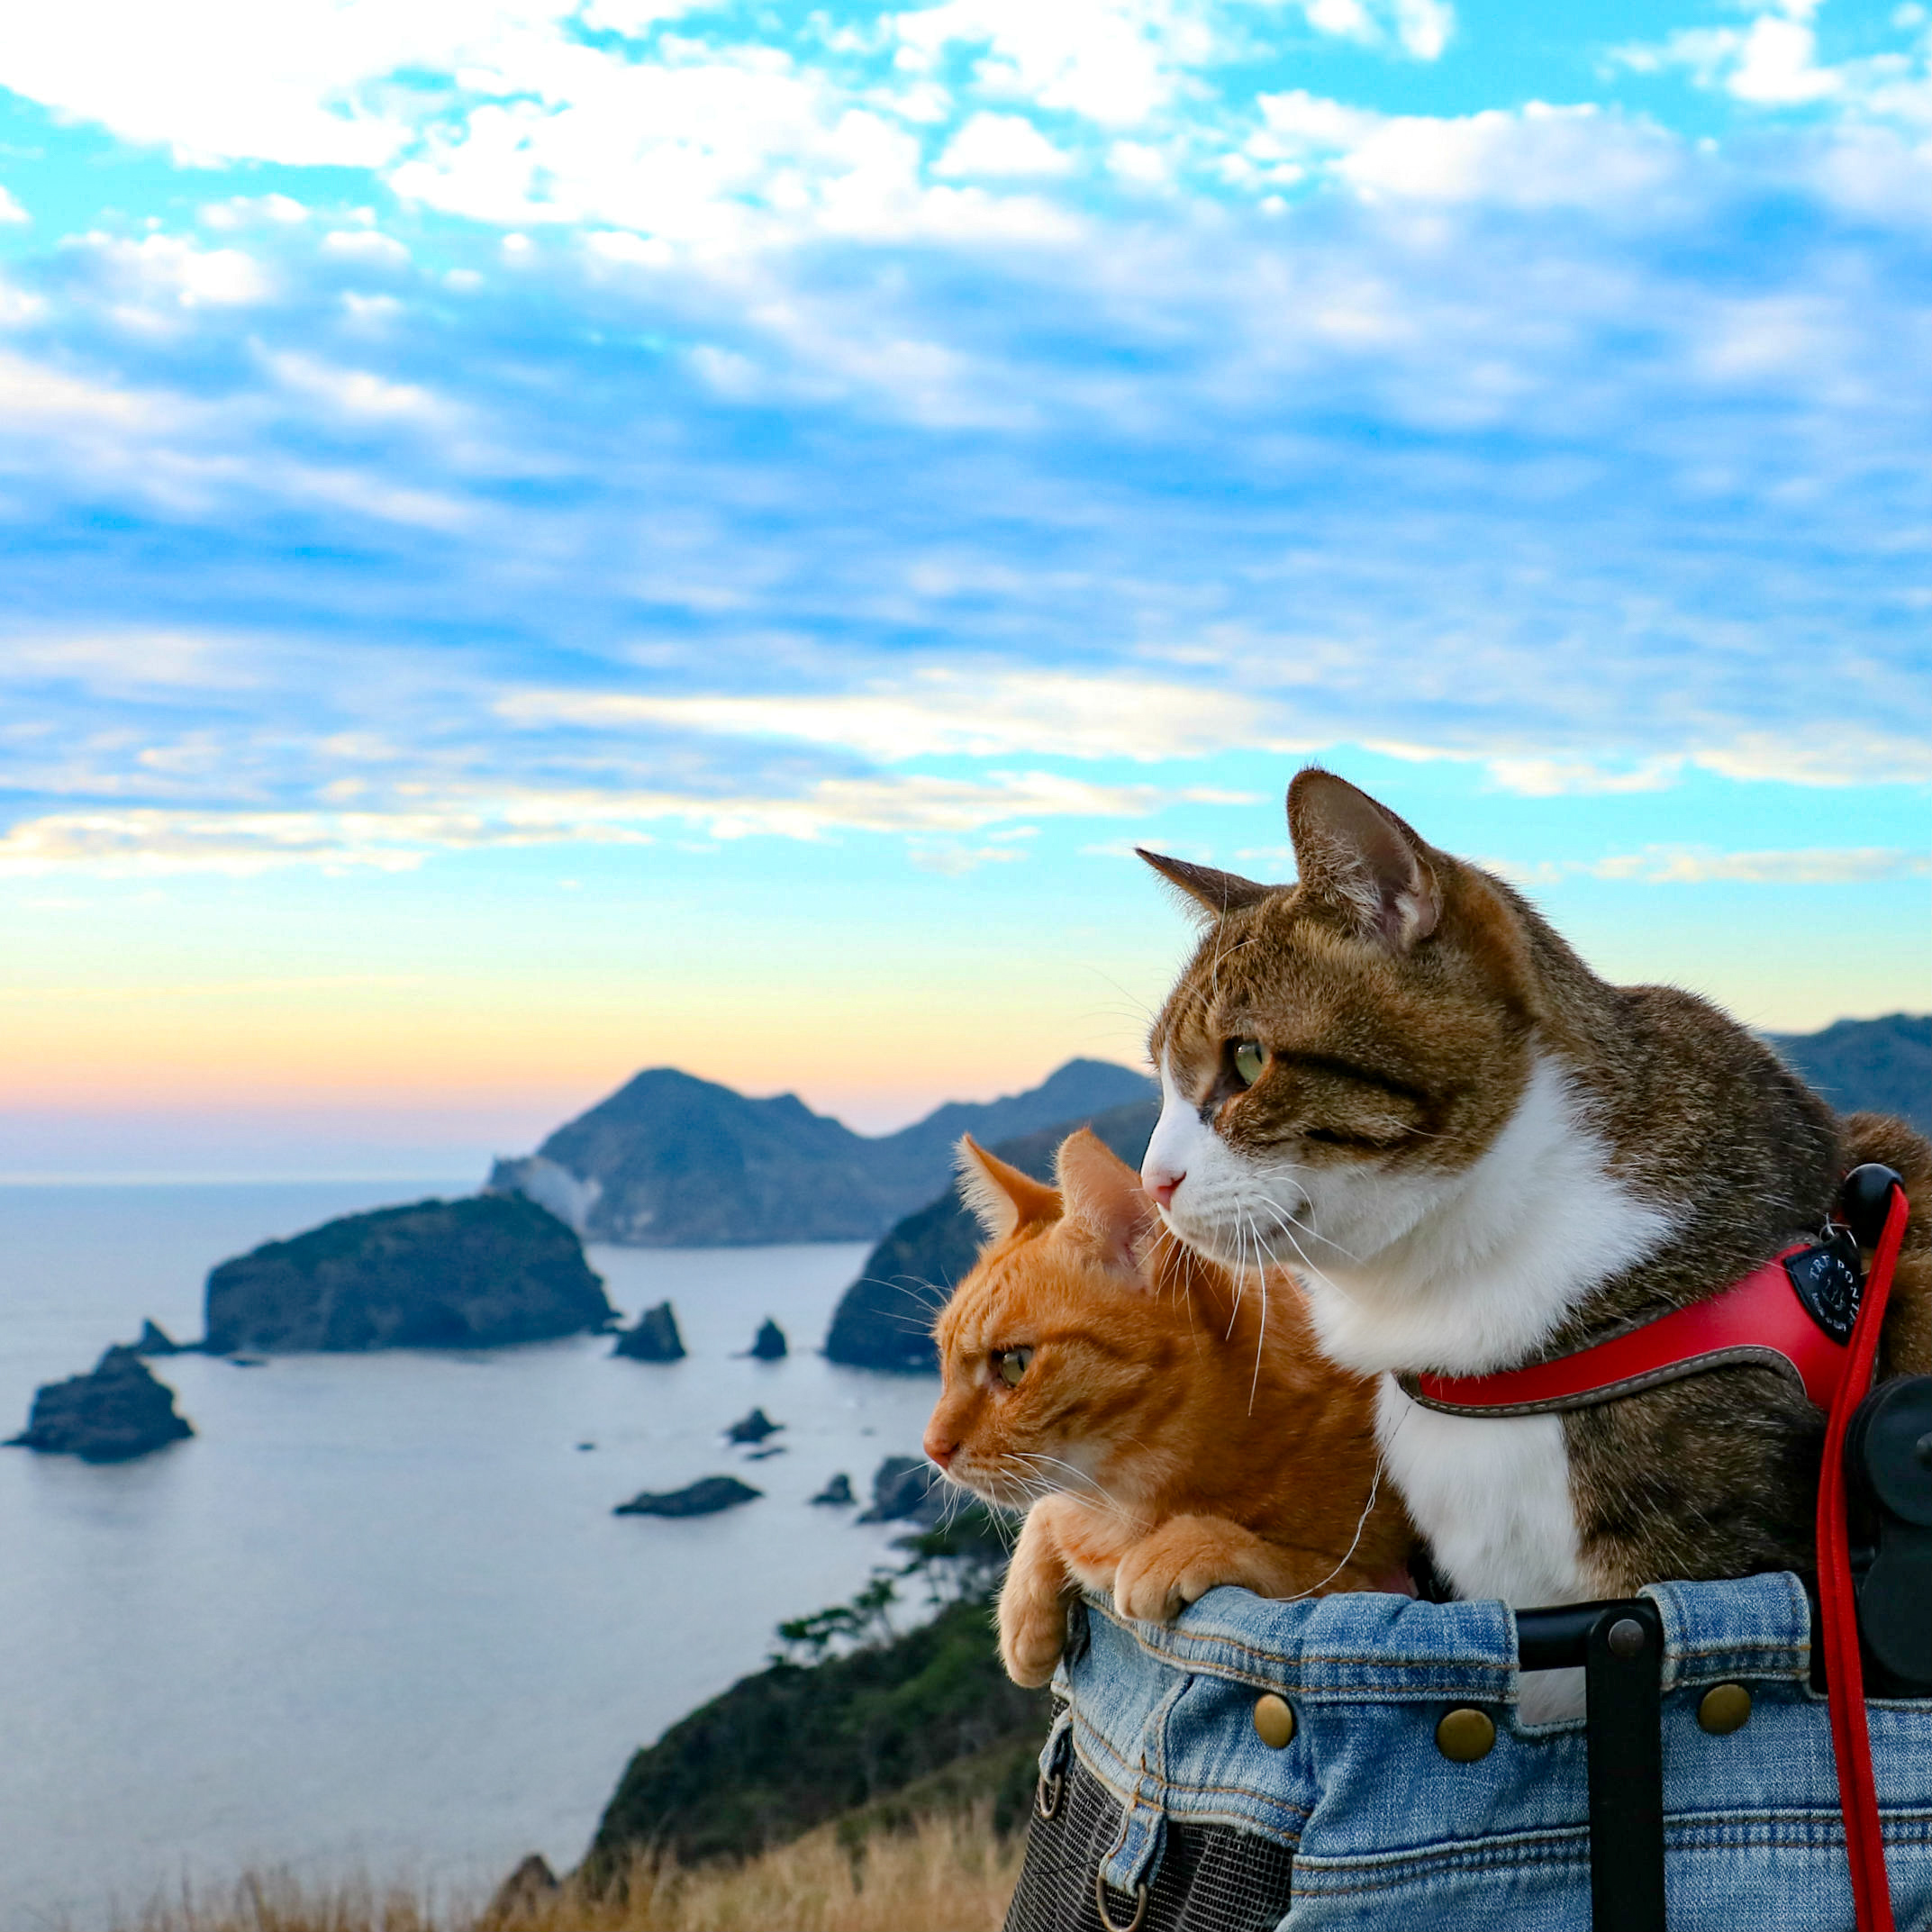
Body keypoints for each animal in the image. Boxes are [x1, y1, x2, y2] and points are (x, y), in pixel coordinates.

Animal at [920, 1128, 1406, 1684]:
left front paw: (1184, 1547)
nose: (932, 1448)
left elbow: (1304, 1571)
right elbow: (1048, 1510)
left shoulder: (1377, 1578)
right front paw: (1024, 1611)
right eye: (942, 1361)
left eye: (1015, 1364)